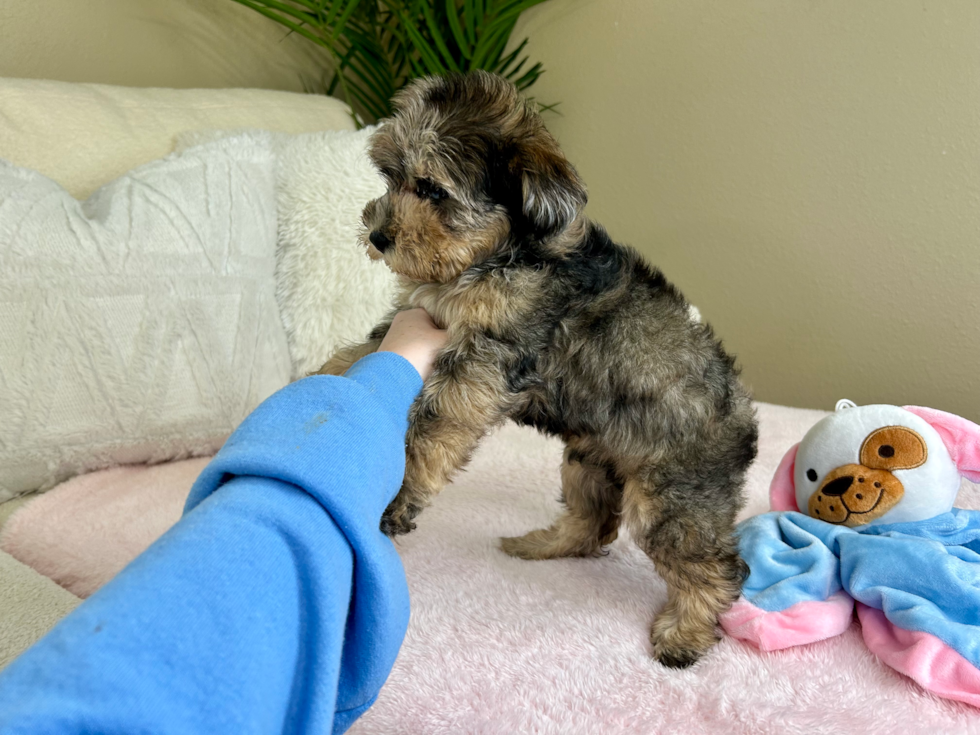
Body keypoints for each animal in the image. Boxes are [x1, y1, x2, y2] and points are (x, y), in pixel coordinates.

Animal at [318, 72, 760, 668]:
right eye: (391, 177)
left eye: (432, 190)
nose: (378, 235)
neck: (499, 252)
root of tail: (745, 422)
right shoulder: (423, 316)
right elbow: (362, 352)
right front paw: (324, 383)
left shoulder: (487, 354)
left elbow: (430, 424)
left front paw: (401, 490)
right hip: (590, 460)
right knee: (594, 521)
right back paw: (541, 544)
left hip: (674, 495)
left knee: (713, 566)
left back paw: (685, 634)